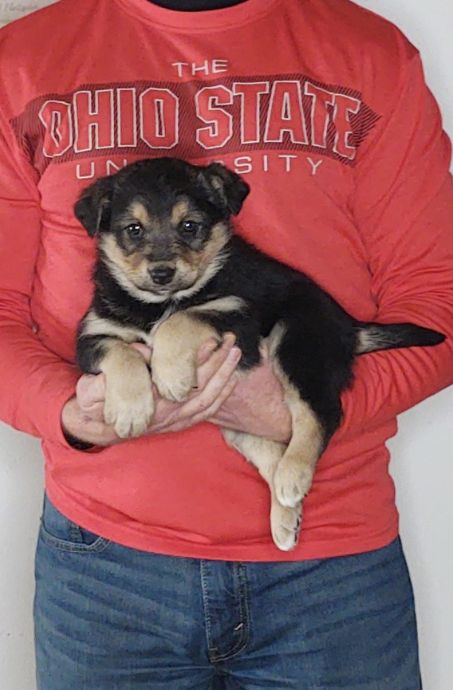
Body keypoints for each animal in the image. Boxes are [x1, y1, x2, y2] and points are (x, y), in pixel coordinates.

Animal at [74, 159, 444, 552]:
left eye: (190, 226)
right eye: (134, 229)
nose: (162, 273)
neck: (157, 304)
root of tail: (348, 329)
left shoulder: (236, 316)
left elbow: (182, 319)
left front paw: (170, 375)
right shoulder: (93, 335)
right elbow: (122, 352)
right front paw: (130, 410)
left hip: (296, 342)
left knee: (321, 414)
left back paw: (294, 476)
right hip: (237, 423)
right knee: (271, 455)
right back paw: (285, 517)